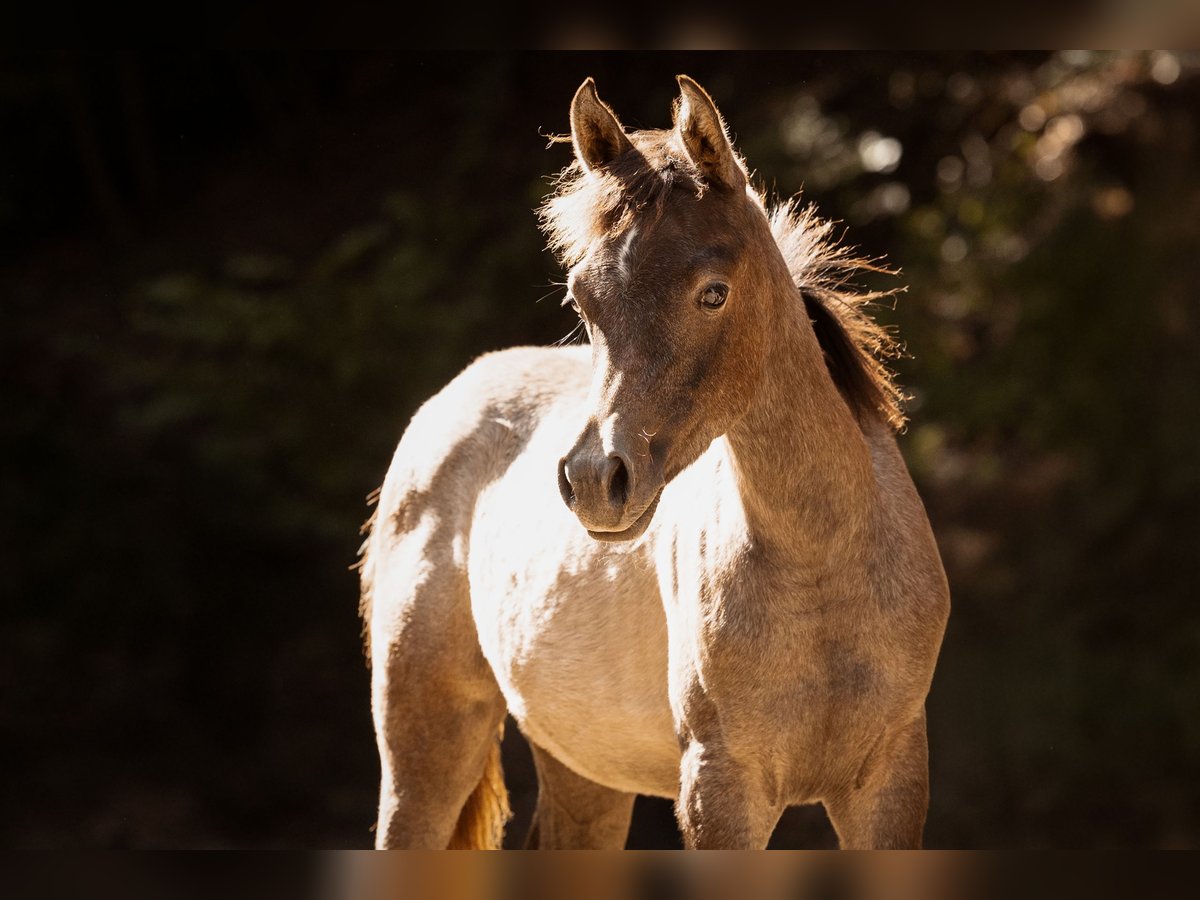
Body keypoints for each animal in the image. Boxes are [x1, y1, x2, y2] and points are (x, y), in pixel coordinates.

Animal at [359, 75, 949, 850]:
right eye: (582, 297)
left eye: (714, 292)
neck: (826, 565)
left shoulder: (890, 783)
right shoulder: (719, 790)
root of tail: (441, 408)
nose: (593, 481)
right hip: (425, 748)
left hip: (585, 775)